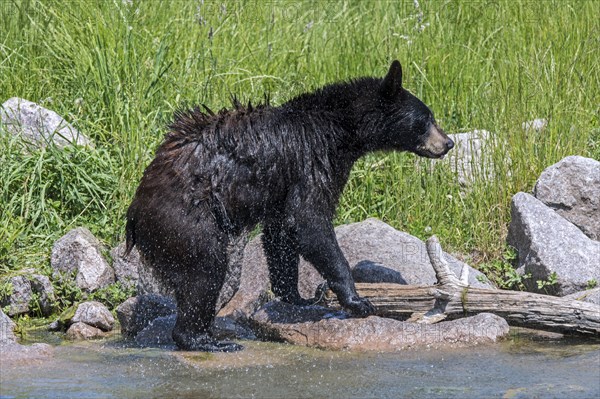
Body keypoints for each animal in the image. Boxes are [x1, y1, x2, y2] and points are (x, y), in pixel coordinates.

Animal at [126, 61, 454, 352]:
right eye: (425, 119)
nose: (448, 143)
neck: (341, 129)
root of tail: (134, 217)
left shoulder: (283, 184)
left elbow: (281, 231)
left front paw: (297, 297)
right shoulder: (311, 160)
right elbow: (308, 220)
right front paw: (356, 299)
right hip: (185, 220)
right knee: (205, 270)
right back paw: (203, 339)